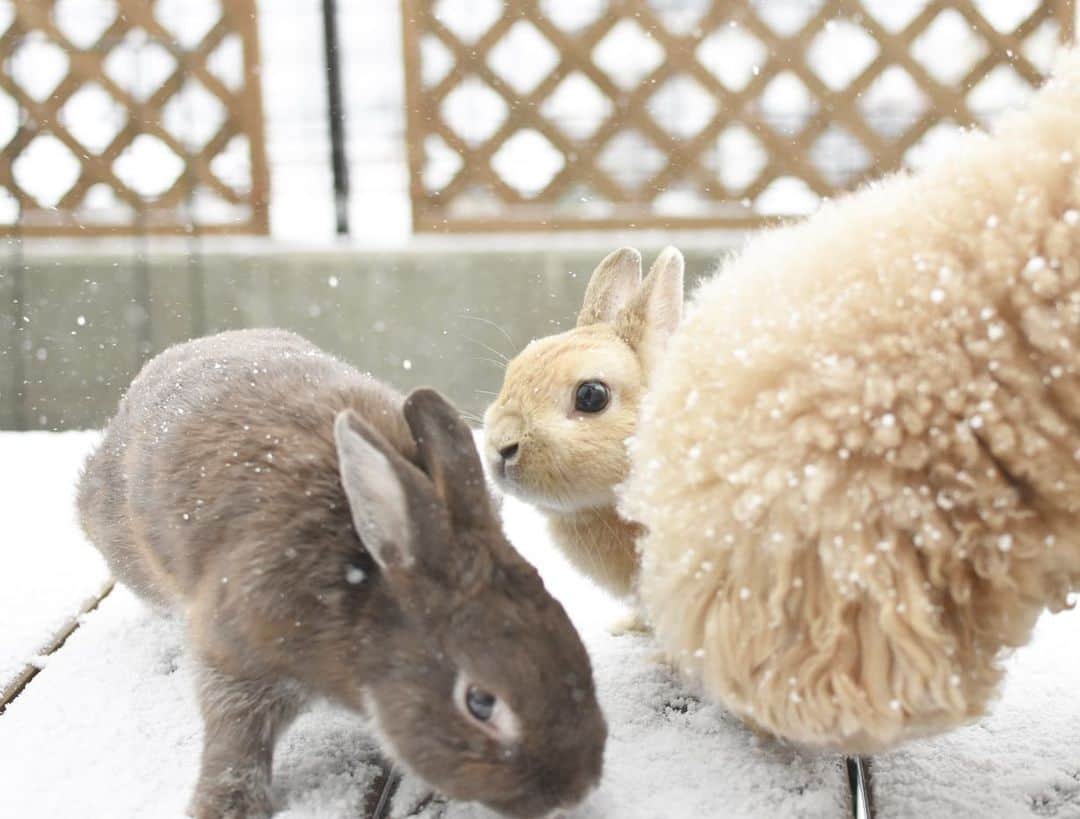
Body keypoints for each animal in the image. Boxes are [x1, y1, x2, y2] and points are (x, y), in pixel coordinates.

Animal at [77, 328, 606, 819]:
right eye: (480, 702)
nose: (575, 790)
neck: (368, 582)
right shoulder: (236, 649)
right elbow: (235, 737)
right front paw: (224, 807)